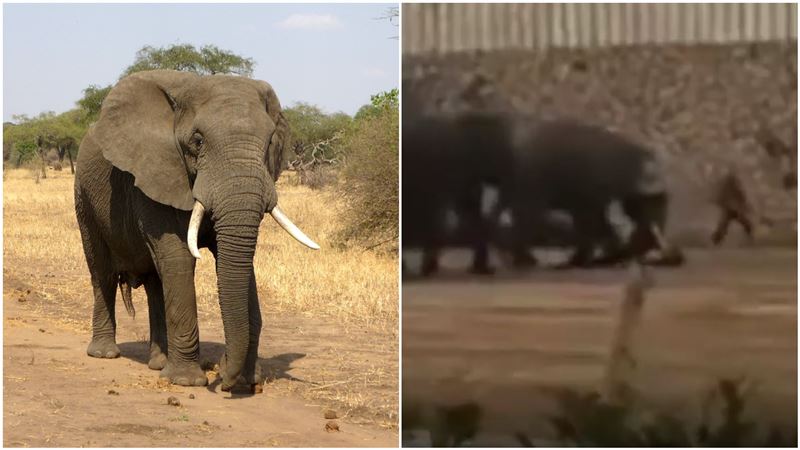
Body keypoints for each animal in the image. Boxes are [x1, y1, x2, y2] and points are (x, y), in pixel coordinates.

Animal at [74, 70, 319, 390]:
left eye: (269, 143)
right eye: (198, 141)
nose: (224, 378)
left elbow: (234, 261)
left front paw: (245, 380)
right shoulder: (156, 172)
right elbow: (179, 257)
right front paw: (186, 382)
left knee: (155, 281)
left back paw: (158, 363)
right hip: (84, 196)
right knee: (101, 271)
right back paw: (105, 354)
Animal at [505, 119, 682, 268]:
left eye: (662, 198)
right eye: (654, 199)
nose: (671, 254)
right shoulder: (592, 196)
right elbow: (593, 225)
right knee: (528, 219)